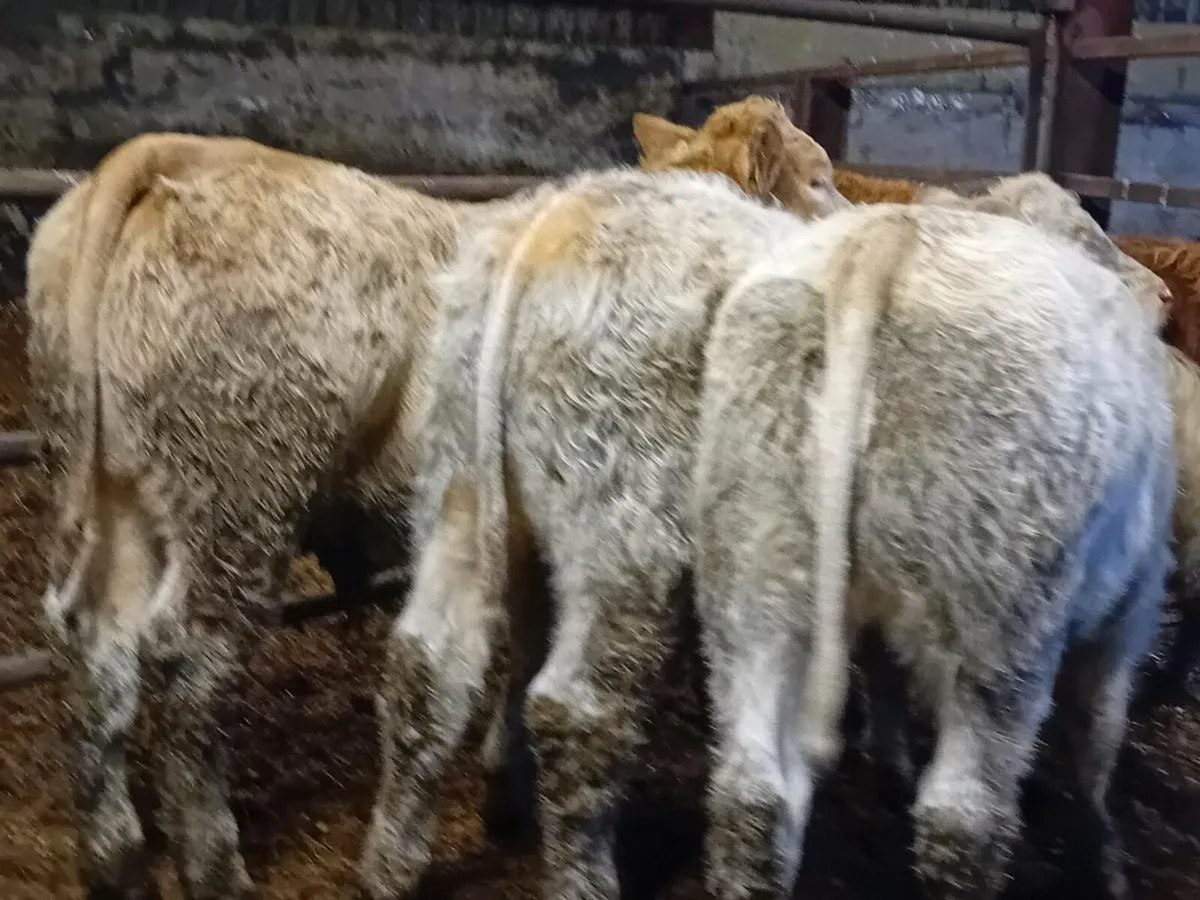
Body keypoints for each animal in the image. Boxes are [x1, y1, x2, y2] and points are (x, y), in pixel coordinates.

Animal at [360, 165, 1173, 900]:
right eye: (1089, 230)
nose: (1158, 294)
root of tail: (561, 214)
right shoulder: (1124, 613)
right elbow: (1096, 736)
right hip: (636, 521)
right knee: (578, 707)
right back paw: (581, 878)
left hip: (467, 483)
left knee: (431, 664)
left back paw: (394, 862)